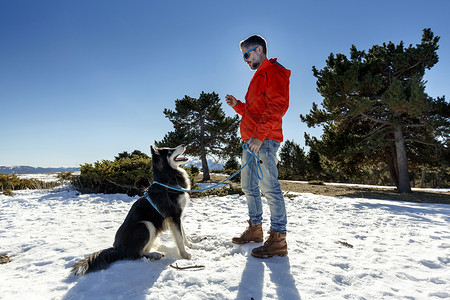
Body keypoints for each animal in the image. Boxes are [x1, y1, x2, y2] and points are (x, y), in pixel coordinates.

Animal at [70, 144, 192, 276]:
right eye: (170, 151)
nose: (184, 145)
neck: (167, 179)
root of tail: (117, 249)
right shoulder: (174, 215)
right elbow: (179, 238)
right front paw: (185, 254)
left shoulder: (178, 216)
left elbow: (183, 234)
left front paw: (191, 245)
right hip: (145, 225)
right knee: (136, 254)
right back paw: (154, 254)